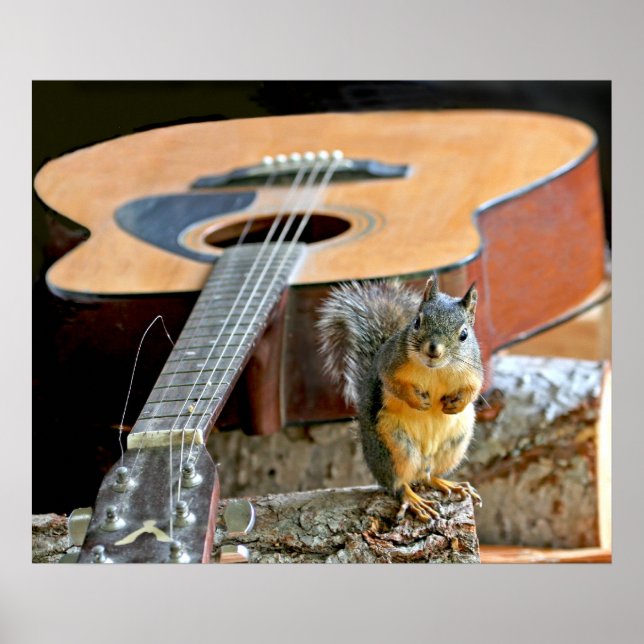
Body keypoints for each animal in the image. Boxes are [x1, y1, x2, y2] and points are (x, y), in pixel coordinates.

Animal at [316, 275, 484, 522]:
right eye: (417, 322)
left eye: (464, 334)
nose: (433, 349)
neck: (436, 369)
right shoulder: (389, 363)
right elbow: (393, 385)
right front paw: (418, 401)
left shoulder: (474, 370)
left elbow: (474, 389)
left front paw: (456, 404)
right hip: (395, 447)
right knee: (398, 483)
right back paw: (412, 499)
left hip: (454, 445)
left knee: (428, 476)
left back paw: (448, 484)